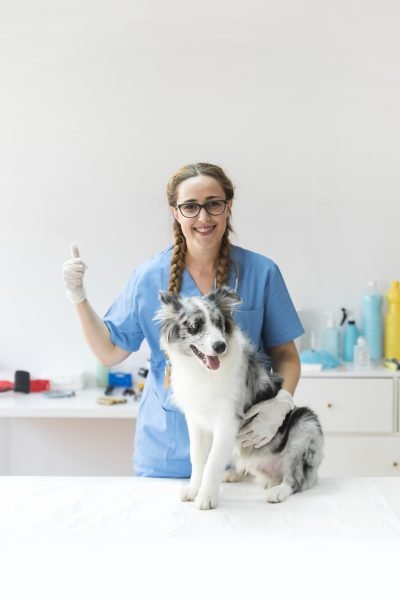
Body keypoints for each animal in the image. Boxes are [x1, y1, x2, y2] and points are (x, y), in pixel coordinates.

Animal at [155, 288, 324, 510]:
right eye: (194, 326)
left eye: (219, 323)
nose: (220, 346)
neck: (204, 373)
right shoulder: (195, 420)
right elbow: (198, 457)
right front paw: (193, 489)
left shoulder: (227, 421)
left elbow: (213, 461)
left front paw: (206, 497)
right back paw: (234, 475)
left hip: (305, 424)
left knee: (295, 479)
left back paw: (278, 491)